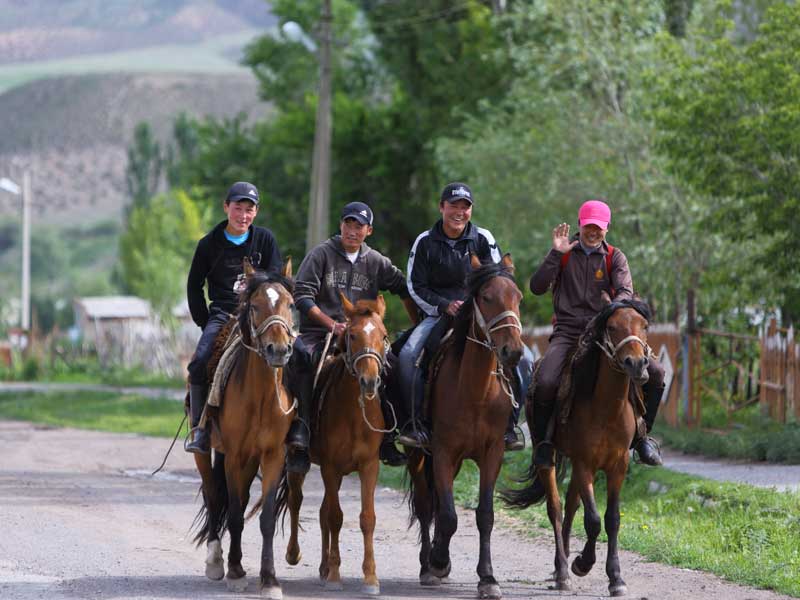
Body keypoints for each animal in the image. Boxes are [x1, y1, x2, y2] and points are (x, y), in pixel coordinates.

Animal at [192, 260, 296, 596]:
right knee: (213, 494)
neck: (260, 397)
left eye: (290, 304)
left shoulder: (272, 455)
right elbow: (235, 514)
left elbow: (264, 518)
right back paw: (215, 560)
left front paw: (269, 580)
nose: (279, 350)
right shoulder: (235, 456)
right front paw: (236, 571)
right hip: (207, 452)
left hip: (250, 460)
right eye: (255, 306)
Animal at [278, 294, 390, 596]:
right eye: (351, 335)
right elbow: (335, 517)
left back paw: (323, 567)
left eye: (383, 335)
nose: (369, 381)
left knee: (320, 511)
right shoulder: (330, 467)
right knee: (296, 501)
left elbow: (367, 518)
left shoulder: (369, 466)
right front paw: (336, 576)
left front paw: (371, 578)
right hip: (298, 464)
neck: (353, 412)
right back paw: (294, 554)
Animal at [406, 254, 524, 600]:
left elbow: (485, 515)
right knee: (425, 505)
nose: (513, 351)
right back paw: (427, 565)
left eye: (518, 297)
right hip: (419, 455)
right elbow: (447, 516)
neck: (476, 391)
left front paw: (488, 578)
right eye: (486, 297)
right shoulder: (443, 451)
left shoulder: (492, 453)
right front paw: (438, 561)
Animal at [504, 298, 652, 596]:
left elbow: (612, 518)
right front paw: (582, 564)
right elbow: (593, 520)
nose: (637, 363)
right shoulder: (585, 463)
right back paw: (562, 570)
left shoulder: (618, 466)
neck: (608, 409)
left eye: (643, 325)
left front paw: (616, 577)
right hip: (550, 457)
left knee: (571, 505)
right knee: (556, 508)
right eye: (612, 327)